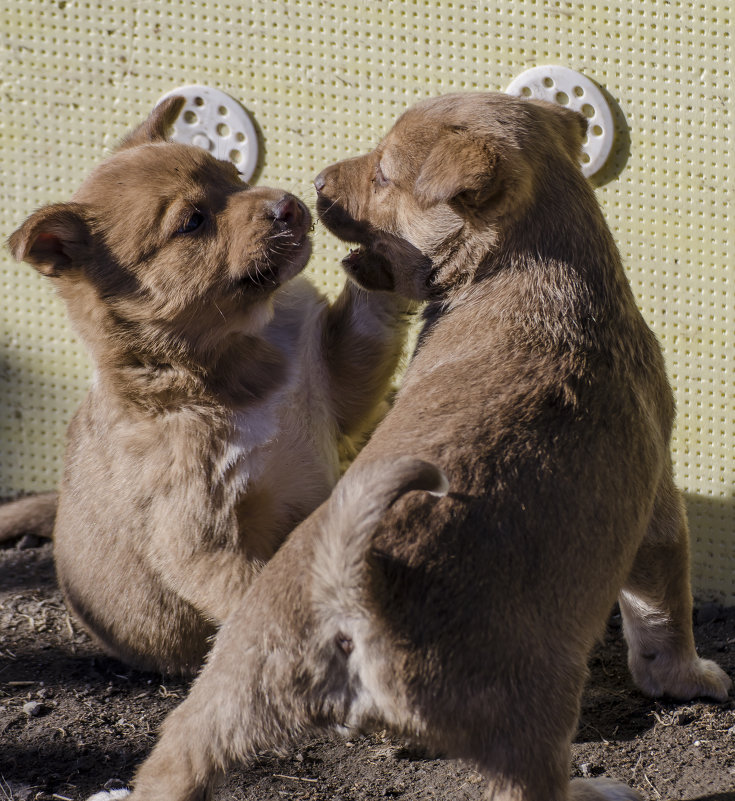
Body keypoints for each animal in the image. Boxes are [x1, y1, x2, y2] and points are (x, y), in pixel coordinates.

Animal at [5, 98, 408, 676]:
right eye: (193, 222)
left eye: (235, 176)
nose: (289, 205)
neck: (239, 360)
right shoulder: (200, 539)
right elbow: (255, 597)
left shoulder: (337, 384)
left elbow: (370, 318)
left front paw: (386, 250)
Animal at [87, 94, 732, 800]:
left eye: (383, 176)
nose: (315, 185)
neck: (520, 271)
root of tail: (347, 594)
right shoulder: (659, 507)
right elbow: (664, 611)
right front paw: (690, 680)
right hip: (532, 706)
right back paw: (597, 790)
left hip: (225, 691)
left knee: (171, 763)